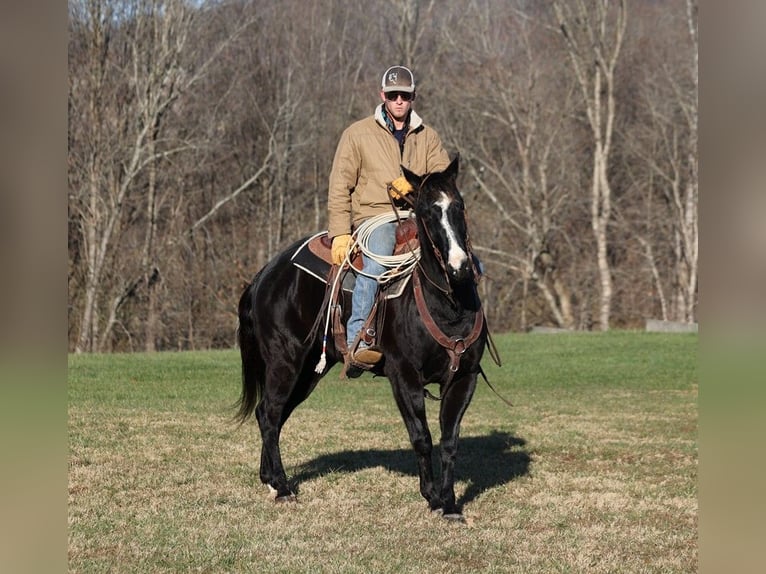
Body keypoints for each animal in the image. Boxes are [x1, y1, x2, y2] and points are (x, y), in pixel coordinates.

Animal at [234, 156, 488, 520]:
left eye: (459, 206)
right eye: (426, 212)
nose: (460, 267)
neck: (447, 304)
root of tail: (264, 275)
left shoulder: (464, 377)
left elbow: (449, 441)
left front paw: (450, 503)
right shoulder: (403, 376)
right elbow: (422, 436)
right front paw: (431, 497)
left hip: (309, 372)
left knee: (272, 414)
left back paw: (269, 479)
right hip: (285, 362)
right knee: (269, 414)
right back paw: (282, 488)